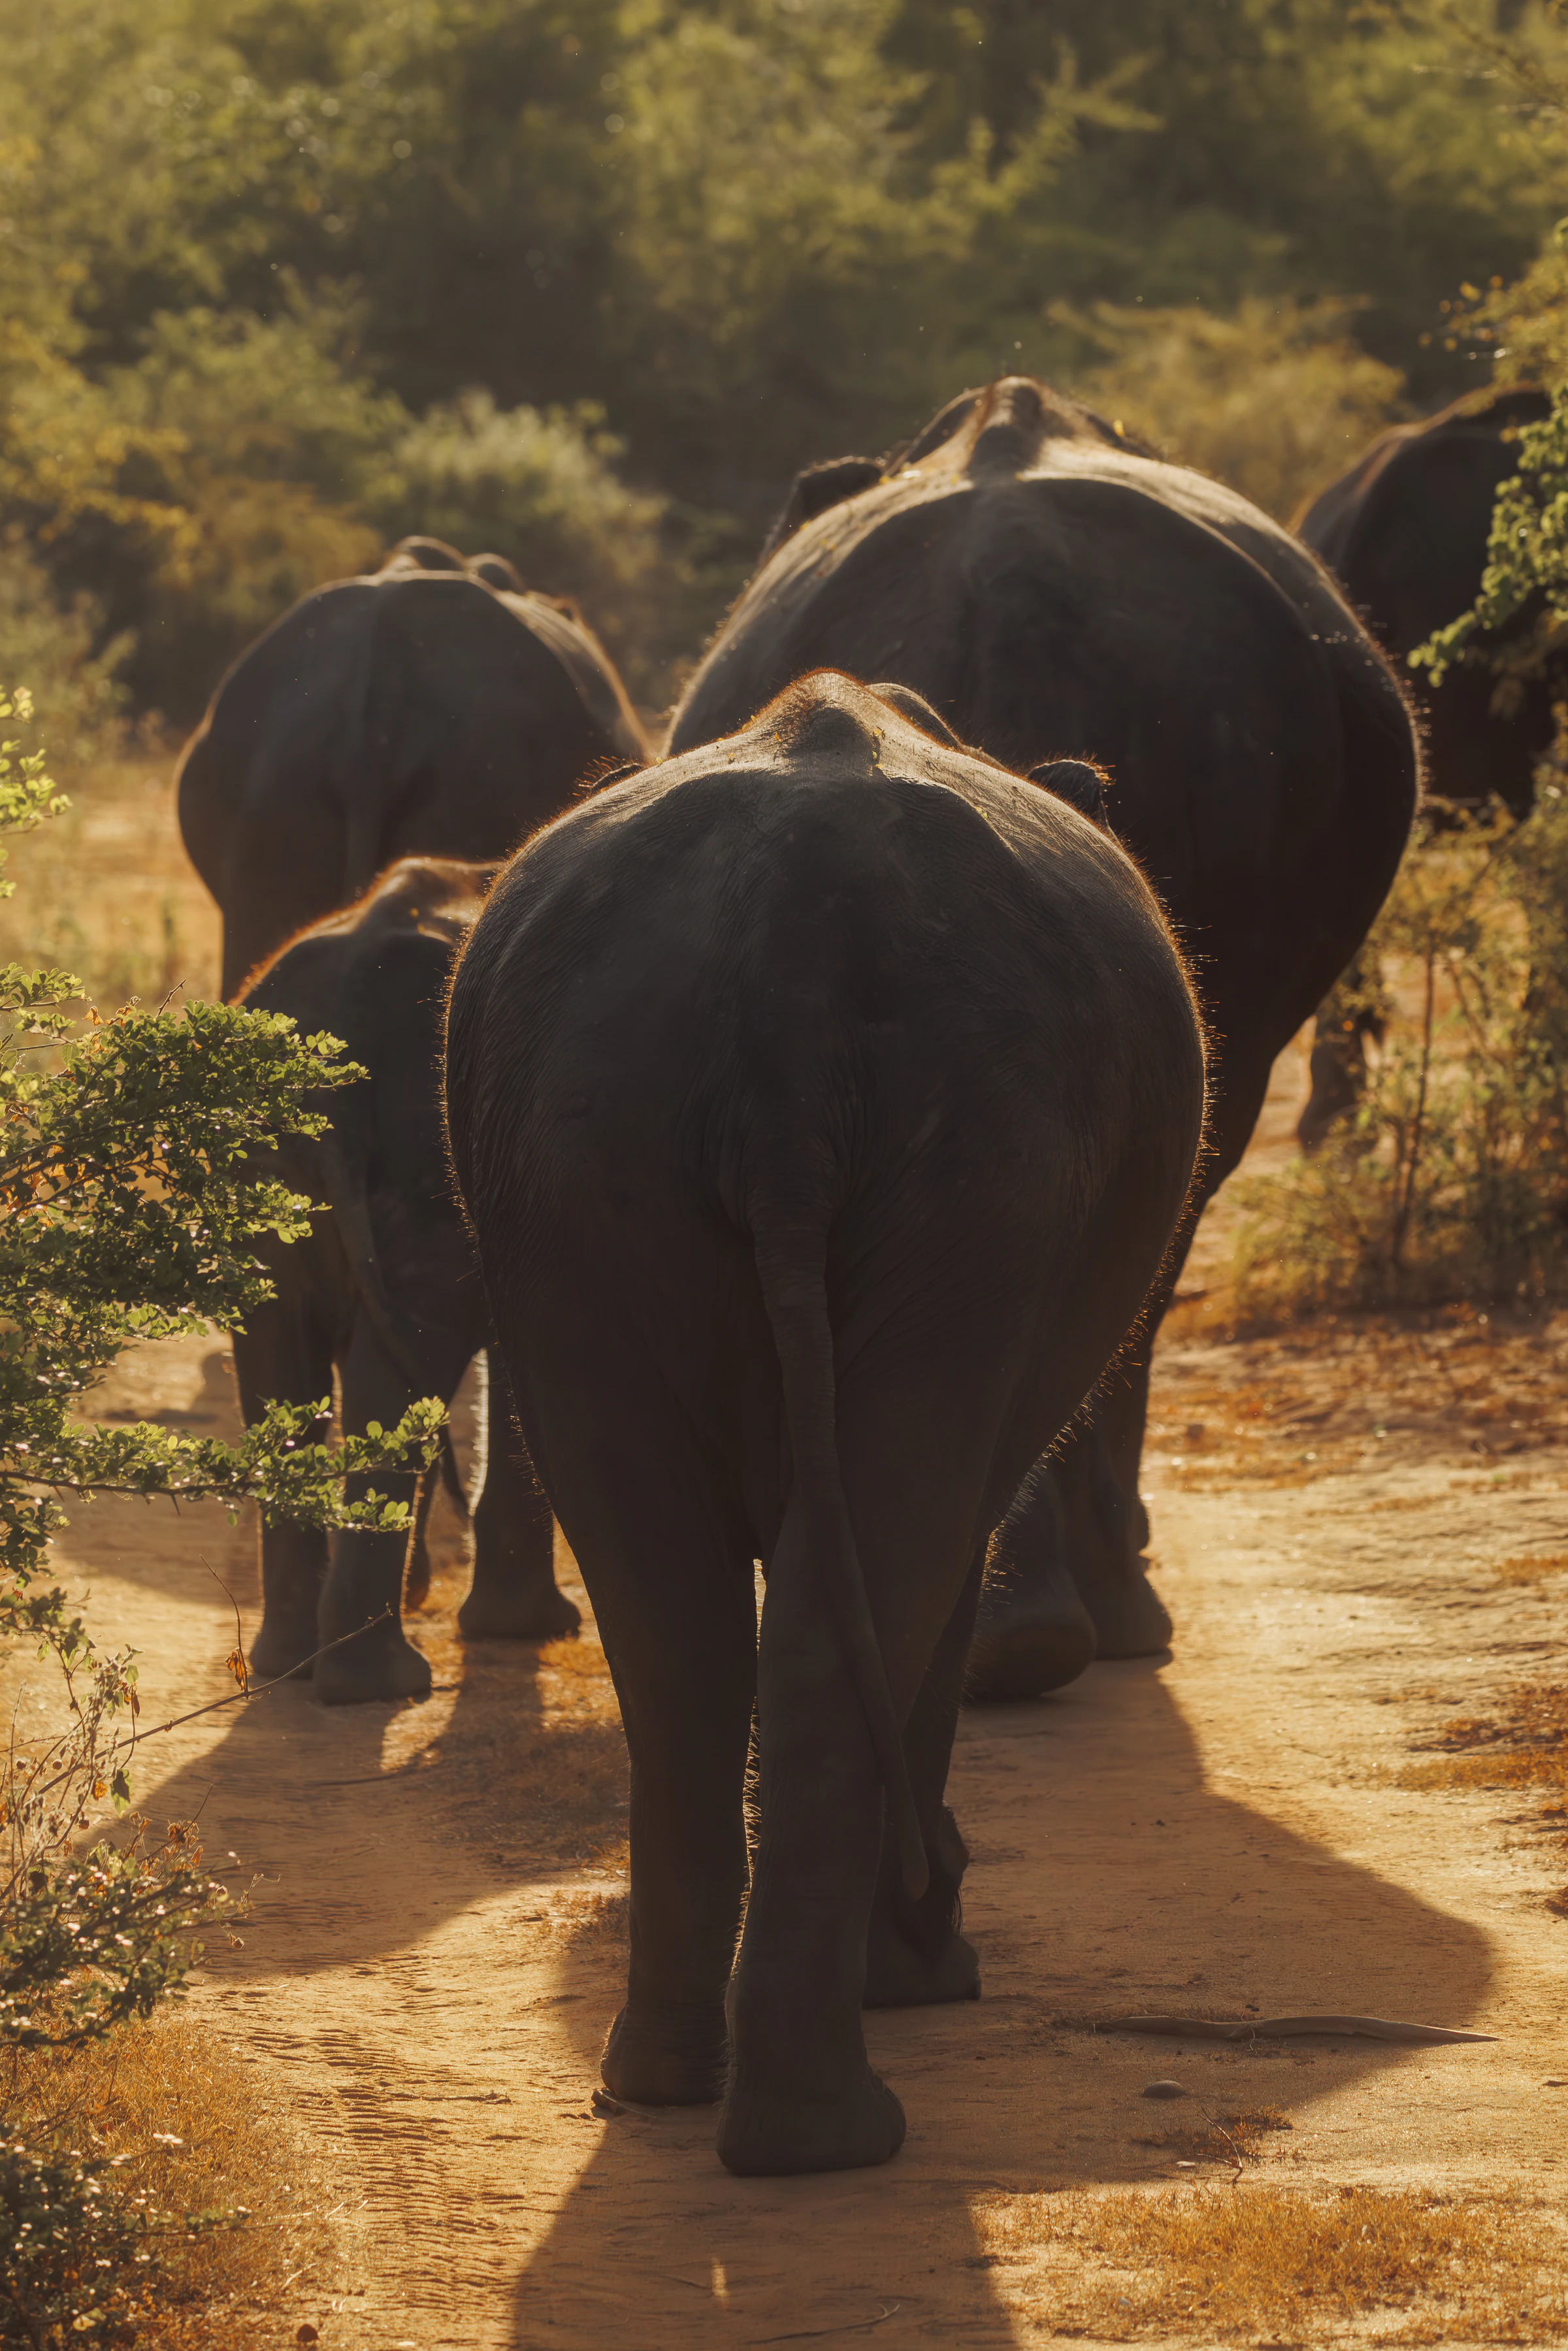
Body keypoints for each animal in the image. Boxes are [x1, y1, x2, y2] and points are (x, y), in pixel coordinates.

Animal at [235, 855, 580, 1705]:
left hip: (264, 1169)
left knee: (280, 1359)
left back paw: (289, 1665)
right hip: (423, 1153)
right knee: (407, 1357)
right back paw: (378, 1686)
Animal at [445, 671, 1205, 2176]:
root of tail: (791, 968)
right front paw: (923, 1968)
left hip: (578, 1171)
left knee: (673, 1615)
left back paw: (679, 2086)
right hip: (977, 1179)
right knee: (881, 1556)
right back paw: (833, 2132)